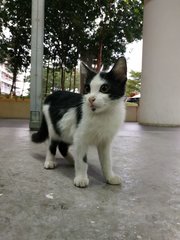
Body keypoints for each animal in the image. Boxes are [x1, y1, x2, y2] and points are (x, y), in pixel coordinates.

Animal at [32, 56, 127, 188]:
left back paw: (72, 160)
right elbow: (82, 160)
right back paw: (50, 161)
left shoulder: (105, 141)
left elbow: (107, 161)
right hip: (54, 127)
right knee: (53, 145)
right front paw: (81, 178)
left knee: (62, 146)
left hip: (67, 130)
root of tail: (52, 94)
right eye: (87, 89)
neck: (102, 115)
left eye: (104, 88)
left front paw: (110, 177)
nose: (91, 99)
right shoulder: (81, 138)